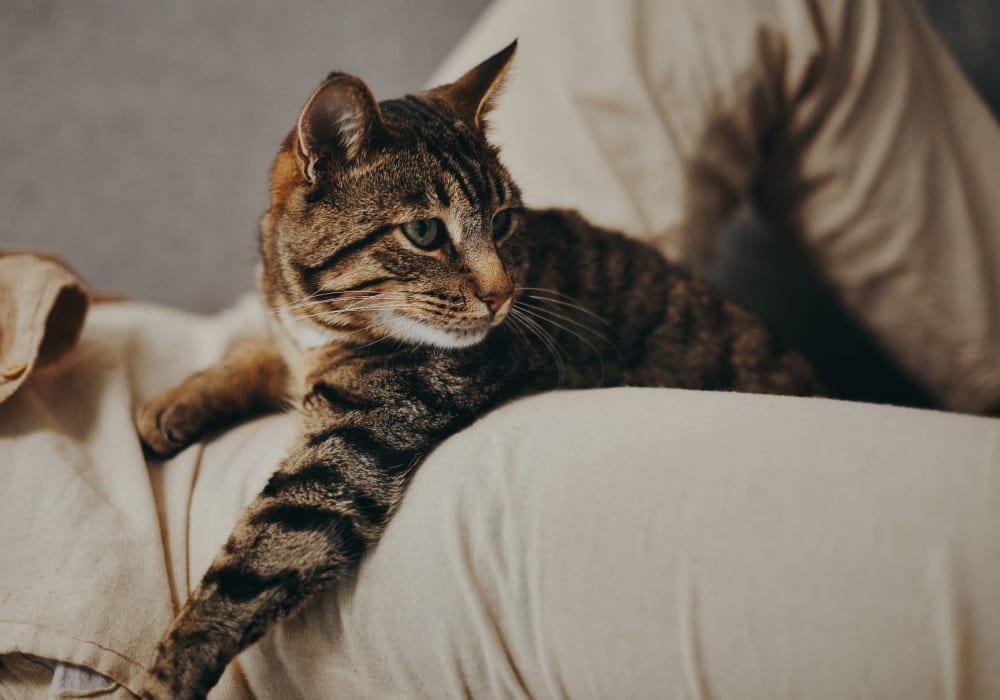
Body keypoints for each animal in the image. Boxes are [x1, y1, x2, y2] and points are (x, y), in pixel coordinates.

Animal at [133, 39, 820, 700]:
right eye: (424, 231)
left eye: (504, 220)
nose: (502, 294)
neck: (321, 321)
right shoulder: (289, 339)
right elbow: (253, 351)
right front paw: (171, 404)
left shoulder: (349, 452)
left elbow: (250, 566)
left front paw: (163, 676)